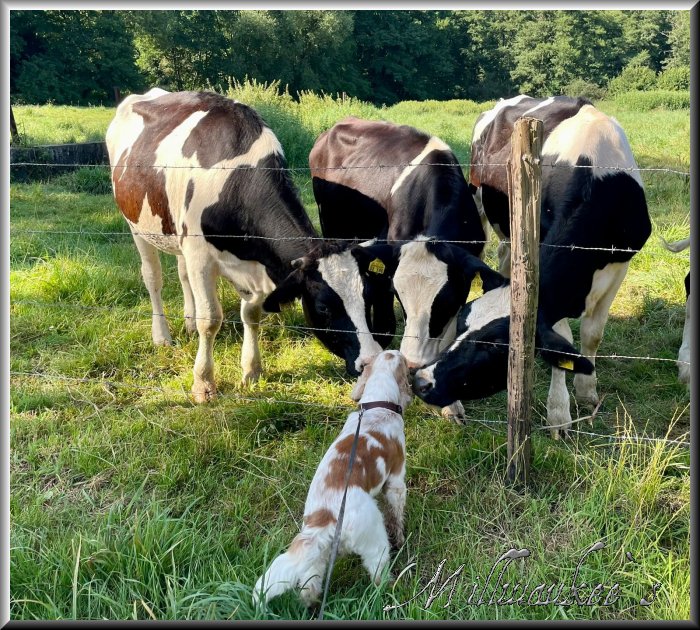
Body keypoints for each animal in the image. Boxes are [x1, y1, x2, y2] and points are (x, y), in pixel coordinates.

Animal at [106, 89, 393, 402]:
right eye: (324, 308)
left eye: (368, 296)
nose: (370, 361)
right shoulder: (200, 256)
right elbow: (211, 319)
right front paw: (203, 384)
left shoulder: (251, 263)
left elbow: (252, 314)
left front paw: (251, 371)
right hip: (136, 225)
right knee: (153, 277)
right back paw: (162, 336)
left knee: (182, 275)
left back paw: (188, 322)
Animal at [253, 350, 413, 607]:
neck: (376, 406)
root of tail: (324, 516)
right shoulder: (396, 481)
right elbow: (397, 517)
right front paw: (400, 538)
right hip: (375, 540)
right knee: (378, 574)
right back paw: (391, 589)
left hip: (318, 557)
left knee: (309, 587)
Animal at [299, 117, 499, 420]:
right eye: (399, 296)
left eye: (445, 301)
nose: (414, 362)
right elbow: (384, 324)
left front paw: (449, 403)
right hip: (331, 223)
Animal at [413, 96, 652, 438]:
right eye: (462, 323)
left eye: (495, 346)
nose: (422, 380)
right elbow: (563, 338)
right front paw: (559, 414)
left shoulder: (620, 264)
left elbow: (592, 334)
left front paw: (587, 391)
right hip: (481, 202)